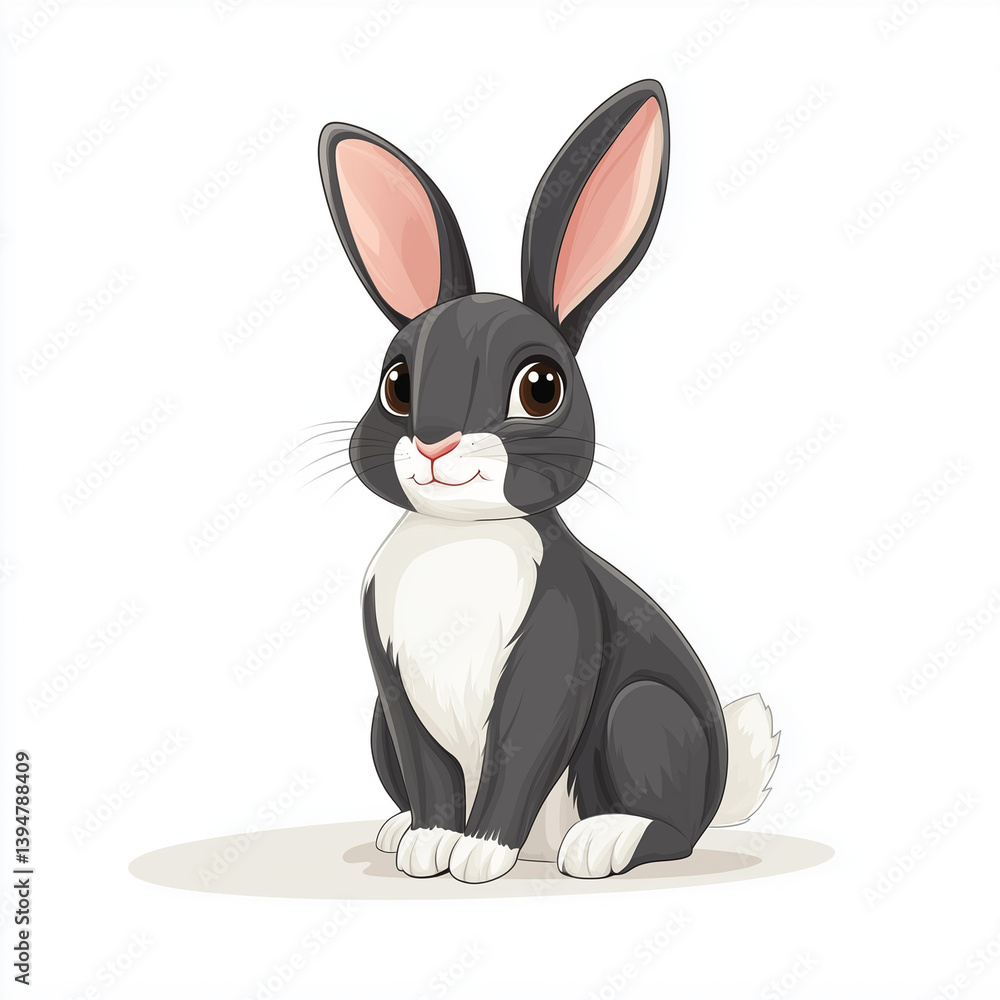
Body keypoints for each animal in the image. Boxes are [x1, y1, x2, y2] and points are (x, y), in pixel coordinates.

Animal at [317, 79, 779, 883]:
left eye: (540, 387)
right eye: (397, 383)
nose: (434, 443)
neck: (461, 536)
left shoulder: (553, 657)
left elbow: (519, 754)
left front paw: (477, 856)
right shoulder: (396, 692)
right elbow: (431, 773)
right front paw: (428, 846)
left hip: (642, 714)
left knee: (672, 830)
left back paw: (601, 843)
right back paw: (397, 827)